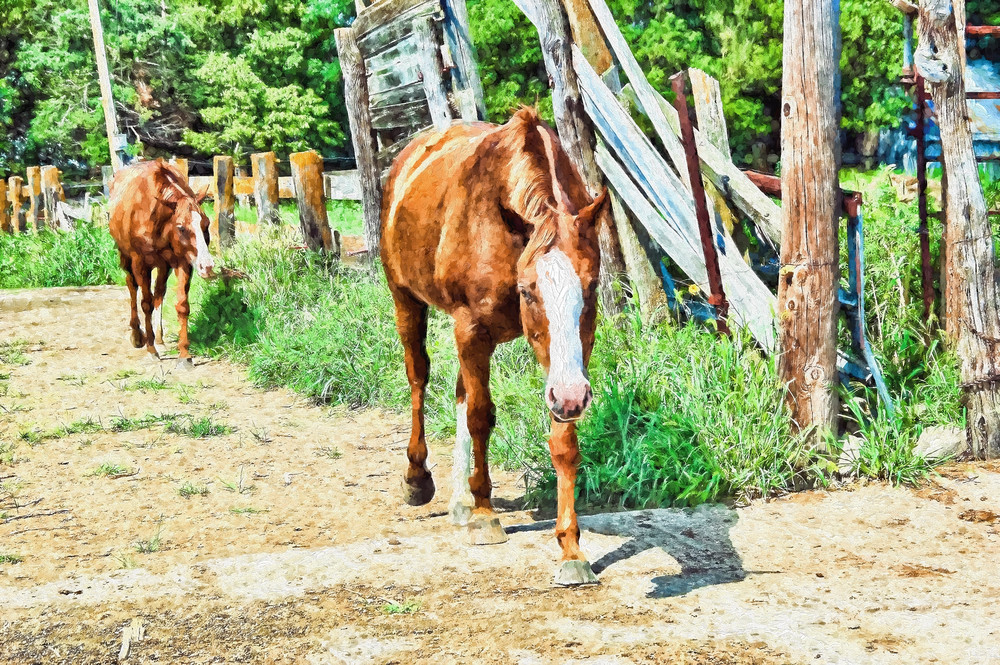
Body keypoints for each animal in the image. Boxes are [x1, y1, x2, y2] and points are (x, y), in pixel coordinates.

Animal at [108, 159, 216, 367]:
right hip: (126, 257)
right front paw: (150, 349)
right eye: (181, 227)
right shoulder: (140, 263)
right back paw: (138, 335)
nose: (207, 266)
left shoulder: (182, 262)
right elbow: (146, 303)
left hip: (163, 265)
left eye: (206, 224)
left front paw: (184, 355)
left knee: (159, 293)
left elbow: (181, 305)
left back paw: (159, 338)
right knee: (132, 287)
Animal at [380, 107, 608, 585]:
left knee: (460, 392)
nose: (572, 397)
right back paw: (420, 479)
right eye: (528, 291)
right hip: (405, 298)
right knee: (418, 377)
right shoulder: (471, 329)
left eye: (592, 287)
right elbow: (481, 417)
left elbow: (562, 440)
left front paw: (571, 549)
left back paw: (460, 501)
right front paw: (485, 515)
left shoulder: (567, 365)